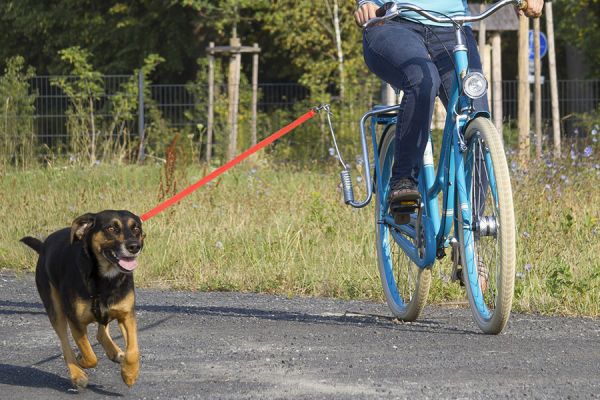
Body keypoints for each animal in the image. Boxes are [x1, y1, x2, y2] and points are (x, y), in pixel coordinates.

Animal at [20, 209, 145, 388]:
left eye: (136, 229)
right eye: (111, 228)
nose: (135, 246)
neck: (105, 279)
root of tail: (44, 246)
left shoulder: (127, 315)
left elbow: (134, 350)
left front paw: (129, 374)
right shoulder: (75, 321)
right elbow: (89, 355)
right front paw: (82, 361)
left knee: (101, 333)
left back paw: (115, 353)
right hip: (55, 310)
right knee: (65, 345)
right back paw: (77, 373)